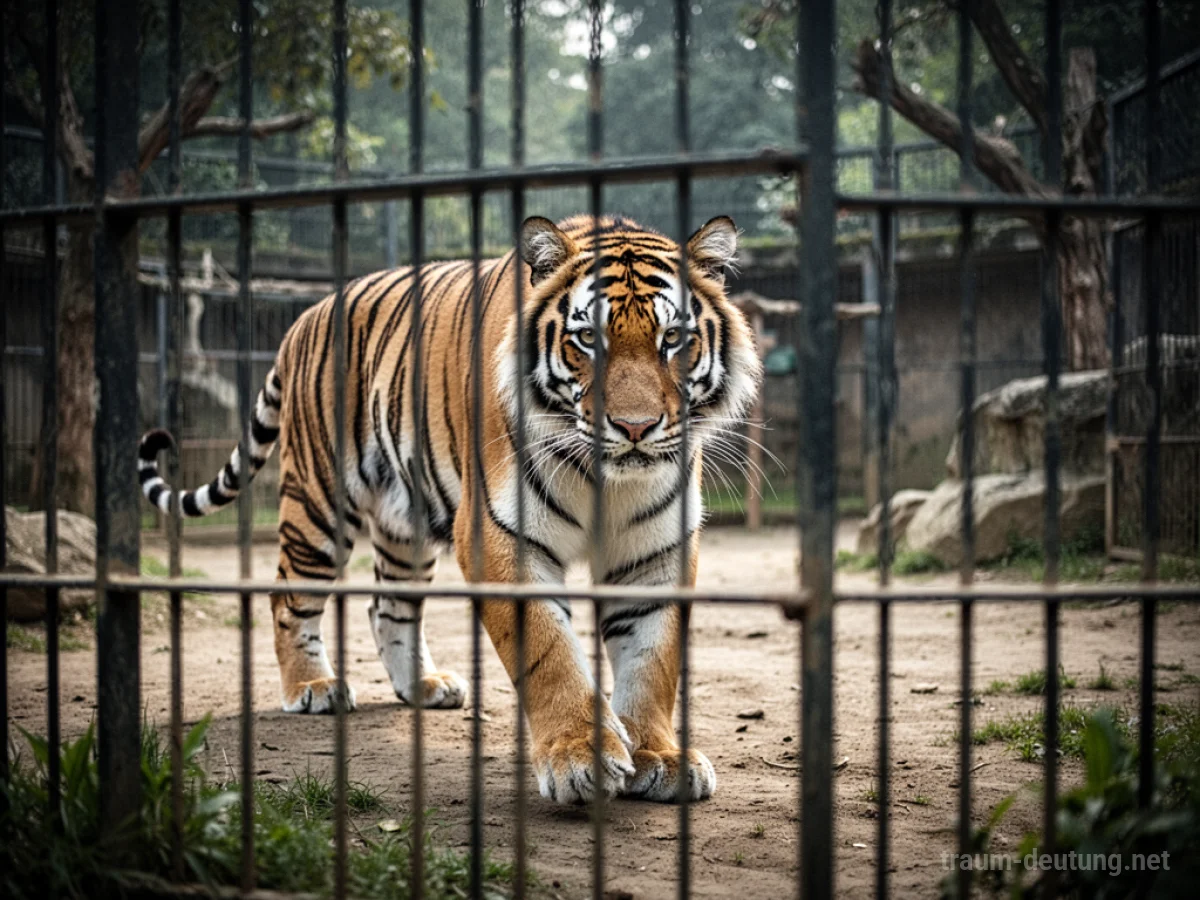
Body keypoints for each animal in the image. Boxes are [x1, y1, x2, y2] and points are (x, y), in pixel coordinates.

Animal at [137, 214, 760, 804]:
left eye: (673, 338)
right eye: (588, 339)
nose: (635, 427)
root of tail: (305, 316)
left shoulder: (657, 549)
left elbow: (652, 660)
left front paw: (660, 756)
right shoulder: (501, 535)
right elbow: (550, 653)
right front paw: (577, 758)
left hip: (405, 521)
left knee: (387, 606)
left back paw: (424, 686)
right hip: (319, 504)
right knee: (288, 596)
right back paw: (312, 688)